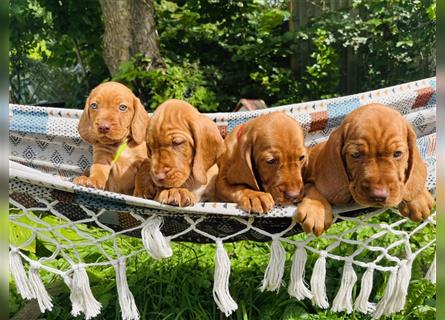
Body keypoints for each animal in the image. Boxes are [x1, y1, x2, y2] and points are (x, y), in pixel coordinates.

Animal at [296, 102, 432, 235]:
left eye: (397, 153)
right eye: (356, 154)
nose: (378, 195)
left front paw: (418, 197)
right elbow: (310, 186)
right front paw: (315, 208)